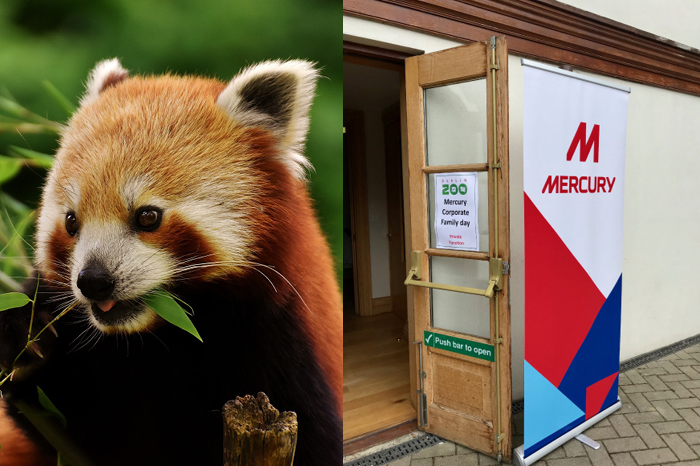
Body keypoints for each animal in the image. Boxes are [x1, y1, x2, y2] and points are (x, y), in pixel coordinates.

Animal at [0, 58, 342, 466]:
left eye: (147, 217)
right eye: (71, 222)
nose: (93, 281)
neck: (160, 340)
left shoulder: (283, 343)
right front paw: (22, 332)